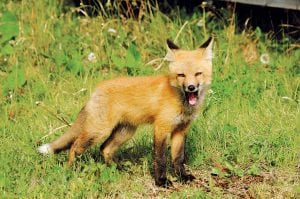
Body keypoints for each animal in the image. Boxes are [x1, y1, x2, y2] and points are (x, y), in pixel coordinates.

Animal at [38, 37, 213, 187]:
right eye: (181, 75)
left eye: (198, 74)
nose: (191, 87)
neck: (181, 101)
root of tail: (96, 90)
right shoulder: (161, 128)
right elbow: (160, 158)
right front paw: (161, 181)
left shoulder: (180, 130)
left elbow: (178, 158)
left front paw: (182, 177)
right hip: (98, 131)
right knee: (74, 147)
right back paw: (70, 171)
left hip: (125, 131)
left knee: (105, 148)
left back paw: (119, 170)